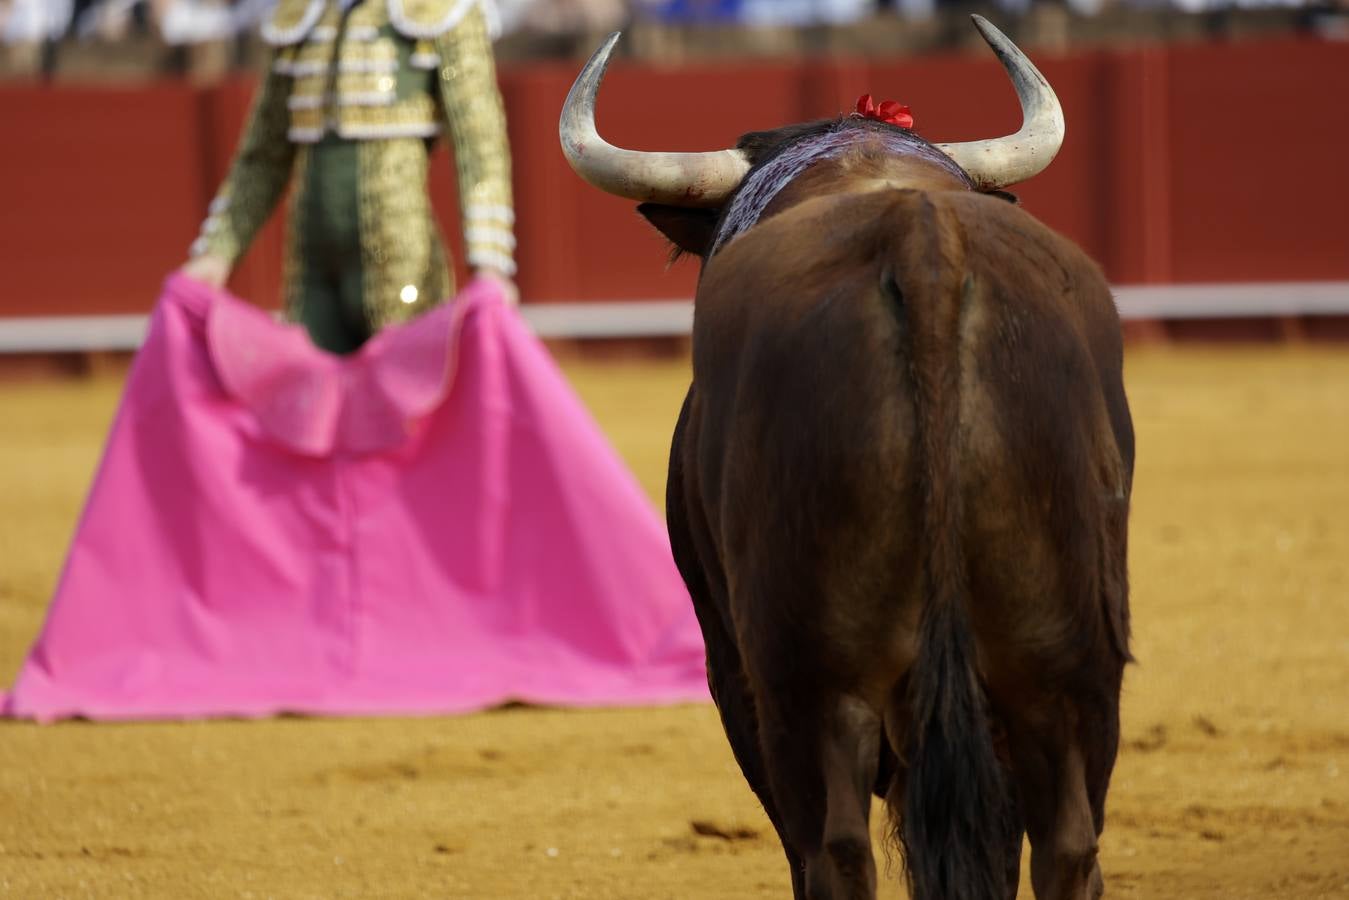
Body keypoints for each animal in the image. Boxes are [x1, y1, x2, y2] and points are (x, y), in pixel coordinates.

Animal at [563, 17, 1133, 895]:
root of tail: (921, 247)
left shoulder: (731, 663)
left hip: (807, 679)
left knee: (829, 851)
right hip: (1070, 666)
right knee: (1066, 849)